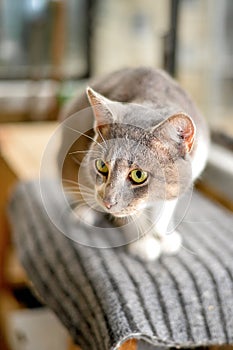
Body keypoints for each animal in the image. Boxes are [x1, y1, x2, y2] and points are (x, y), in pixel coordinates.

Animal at [58, 67, 209, 260]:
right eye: (102, 166)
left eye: (138, 175)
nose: (107, 203)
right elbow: (131, 216)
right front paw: (144, 242)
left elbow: (165, 207)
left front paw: (163, 236)